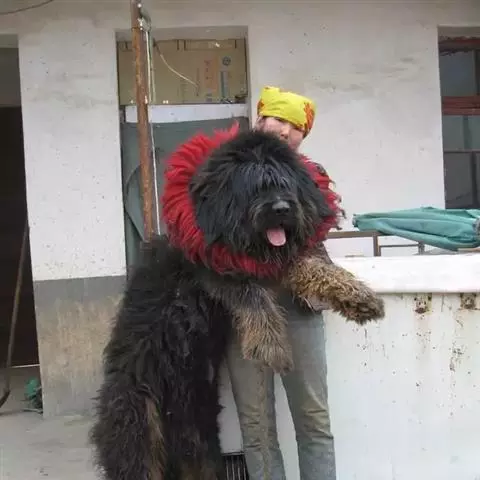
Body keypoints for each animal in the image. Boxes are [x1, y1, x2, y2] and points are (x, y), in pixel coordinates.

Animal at [90, 126, 384, 479]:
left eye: (285, 184)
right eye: (256, 187)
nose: (283, 208)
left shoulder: (276, 260)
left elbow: (312, 267)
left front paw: (358, 297)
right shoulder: (211, 268)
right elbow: (251, 293)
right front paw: (271, 344)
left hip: (196, 422)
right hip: (140, 420)